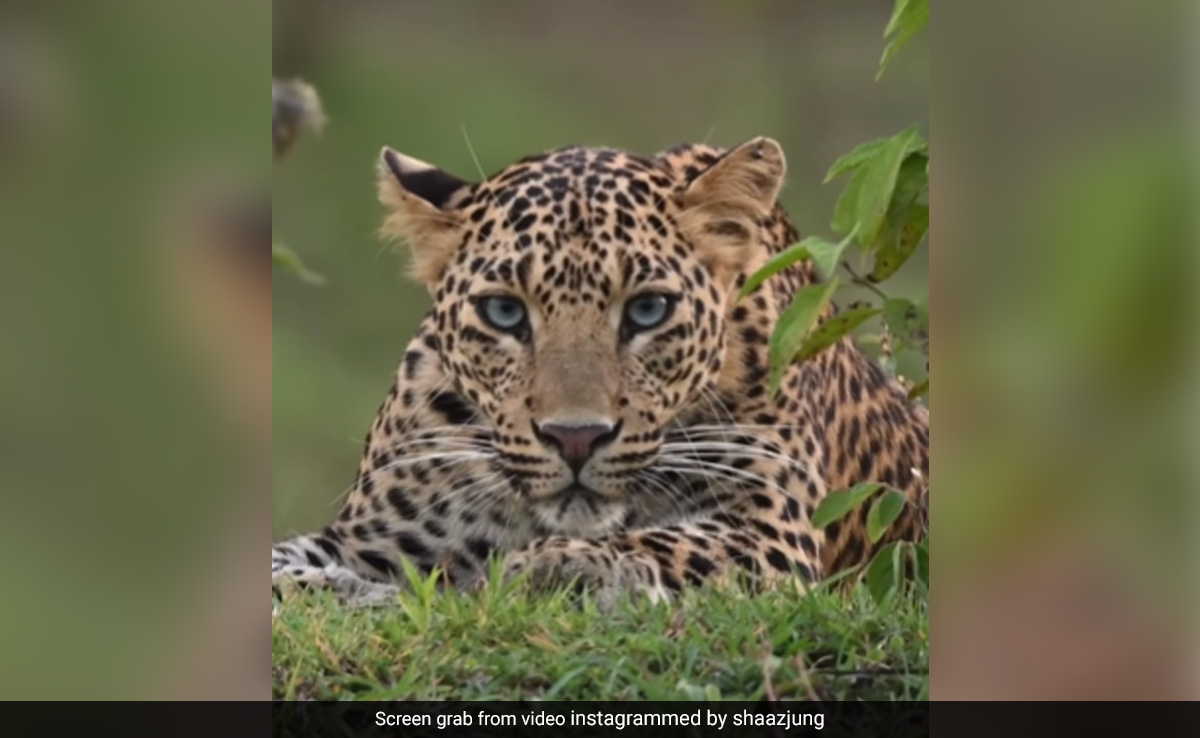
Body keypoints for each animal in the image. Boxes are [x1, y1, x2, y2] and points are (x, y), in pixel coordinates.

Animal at [271, 136, 929, 609]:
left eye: (647, 309)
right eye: (504, 311)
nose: (576, 438)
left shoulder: (771, 528)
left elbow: (670, 540)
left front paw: (558, 565)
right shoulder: (375, 537)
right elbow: (280, 567)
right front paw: (353, 593)